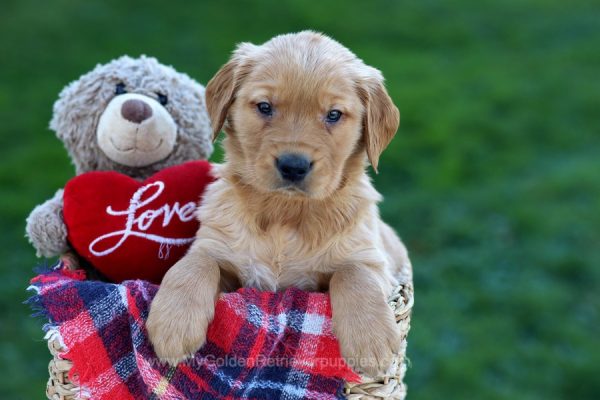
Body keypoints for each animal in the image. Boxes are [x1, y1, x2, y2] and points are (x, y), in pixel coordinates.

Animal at [149, 32, 412, 378]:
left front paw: (371, 340)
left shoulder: (372, 261)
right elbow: (193, 264)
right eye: (265, 107)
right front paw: (173, 325)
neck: (285, 214)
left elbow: (354, 273)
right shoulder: (218, 251)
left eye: (333, 115)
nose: (293, 166)